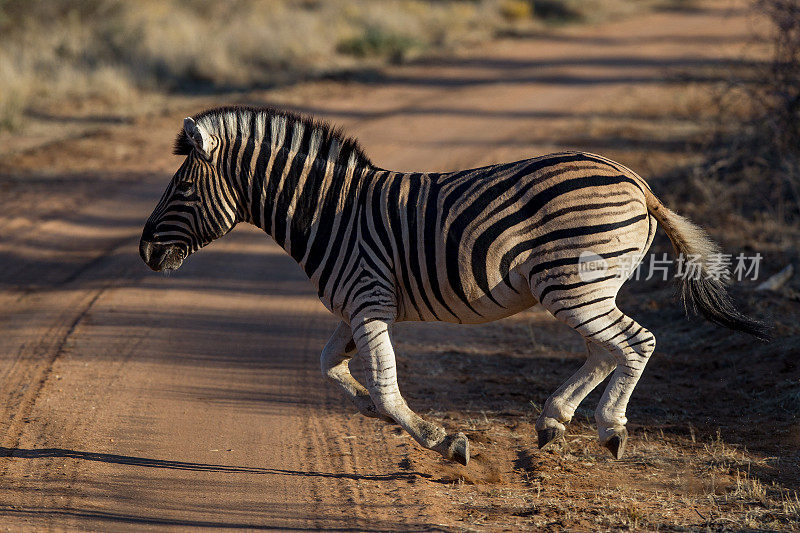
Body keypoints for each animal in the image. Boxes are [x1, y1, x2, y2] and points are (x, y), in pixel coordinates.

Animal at [139, 105, 768, 466]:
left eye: (181, 190)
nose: (144, 251)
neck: (329, 214)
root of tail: (635, 180)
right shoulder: (356, 307)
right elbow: (330, 367)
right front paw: (376, 413)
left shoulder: (368, 299)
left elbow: (386, 386)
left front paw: (442, 441)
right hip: (583, 287)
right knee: (606, 348)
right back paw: (553, 419)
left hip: (572, 284)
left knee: (634, 342)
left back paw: (609, 429)